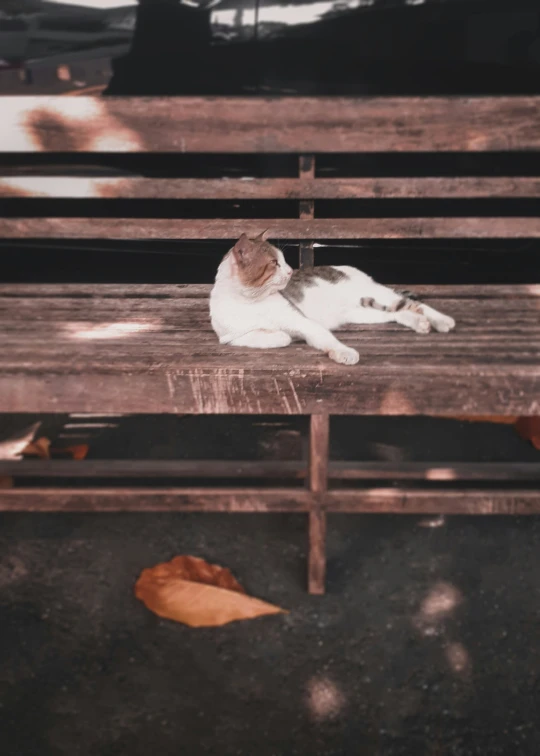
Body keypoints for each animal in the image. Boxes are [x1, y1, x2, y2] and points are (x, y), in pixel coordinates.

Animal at [211, 230, 456, 366]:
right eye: (274, 263)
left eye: (284, 261)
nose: (290, 271)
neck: (249, 300)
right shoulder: (230, 337)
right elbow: (266, 337)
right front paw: (279, 334)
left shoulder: (303, 321)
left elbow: (325, 337)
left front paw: (344, 352)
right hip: (361, 312)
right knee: (396, 313)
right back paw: (419, 322)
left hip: (376, 294)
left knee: (413, 304)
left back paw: (442, 320)